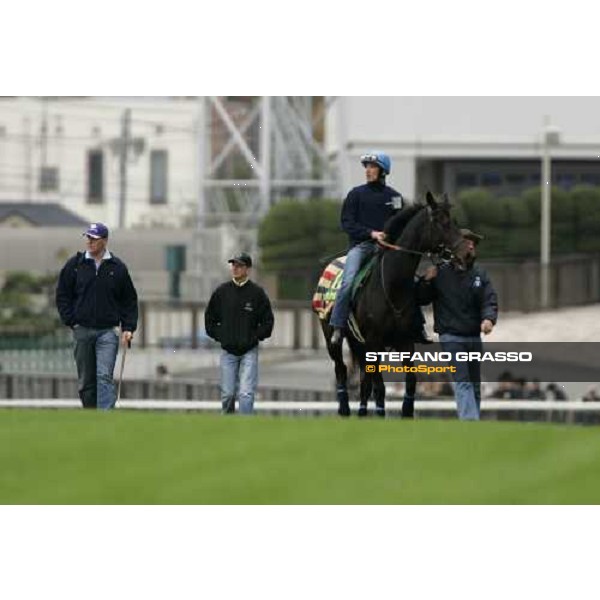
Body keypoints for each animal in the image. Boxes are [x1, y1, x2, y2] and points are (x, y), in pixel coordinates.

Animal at [318, 192, 464, 418]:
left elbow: (410, 381)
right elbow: (380, 386)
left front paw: (406, 413)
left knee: (363, 379)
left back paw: (361, 412)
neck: (391, 285)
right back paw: (344, 409)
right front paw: (380, 414)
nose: (464, 251)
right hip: (331, 337)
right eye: (441, 222)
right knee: (341, 369)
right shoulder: (373, 341)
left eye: (454, 221)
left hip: (359, 343)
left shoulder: (405, 341)